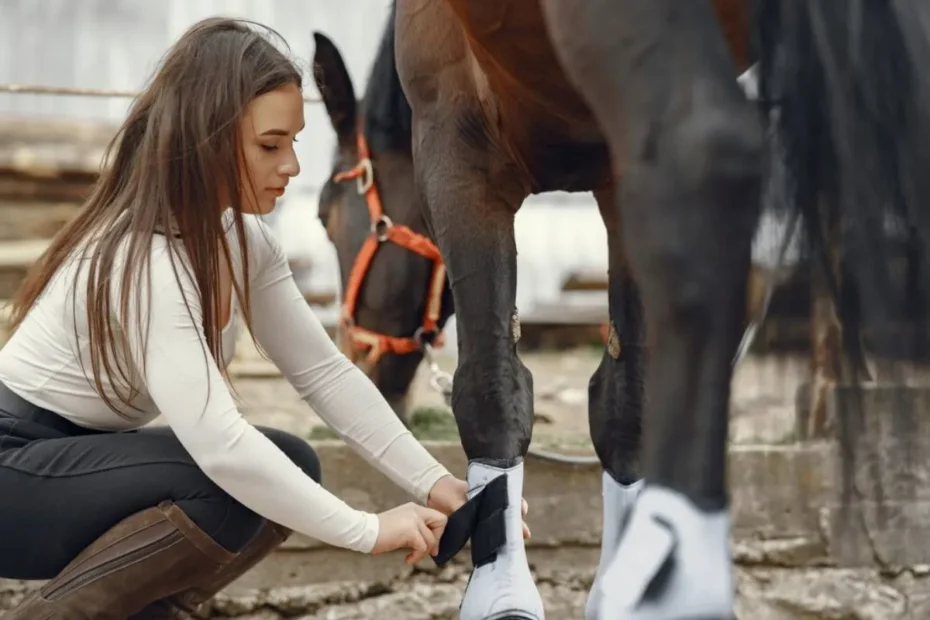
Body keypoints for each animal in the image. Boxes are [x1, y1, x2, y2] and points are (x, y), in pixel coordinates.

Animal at [314, 0, 930, 616]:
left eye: (325, 214)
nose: (358, 359)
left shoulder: (453, 135)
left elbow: (491, 387)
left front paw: (504, 593)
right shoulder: (615, 171)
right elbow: (625, 404)